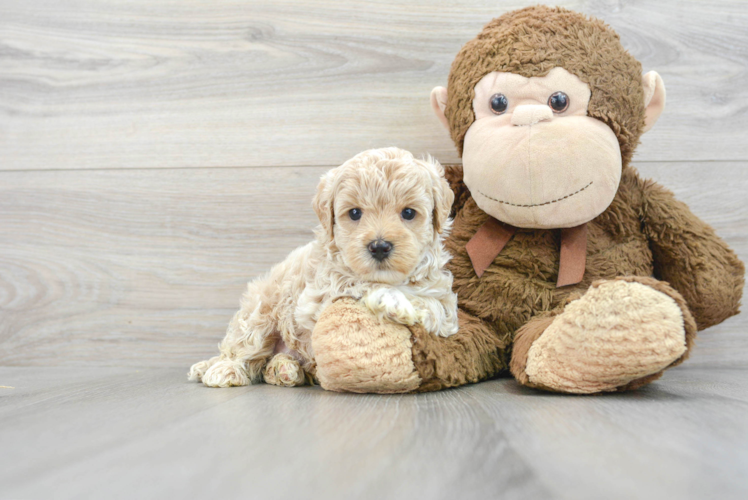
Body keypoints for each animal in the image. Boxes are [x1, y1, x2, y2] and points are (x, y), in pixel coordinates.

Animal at [188, 146, 456, 388]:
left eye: (409, 213)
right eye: (355, 213)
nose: (379, 246)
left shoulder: (444, 301)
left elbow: (437, 307)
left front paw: (409, 304)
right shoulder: (316, 297)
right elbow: (357, 283)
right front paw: (391, 299)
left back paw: (284, 369)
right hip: (261, 311)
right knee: (242, 348)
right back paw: (224, 370)